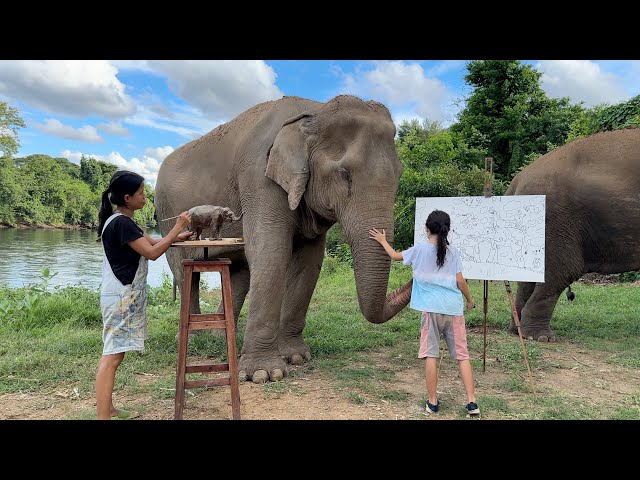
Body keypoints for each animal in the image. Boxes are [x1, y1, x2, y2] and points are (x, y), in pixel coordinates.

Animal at [155, 95, 410, 384]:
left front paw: (296, 357)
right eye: (345, 173)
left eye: (400, 174)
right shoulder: (259, 178)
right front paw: (264, 374)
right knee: (186, 272)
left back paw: (218, 336)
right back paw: (195, 337)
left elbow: (309, 262)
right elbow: (271, 250)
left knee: (239, 273)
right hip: (167, 216)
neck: (315, 110)